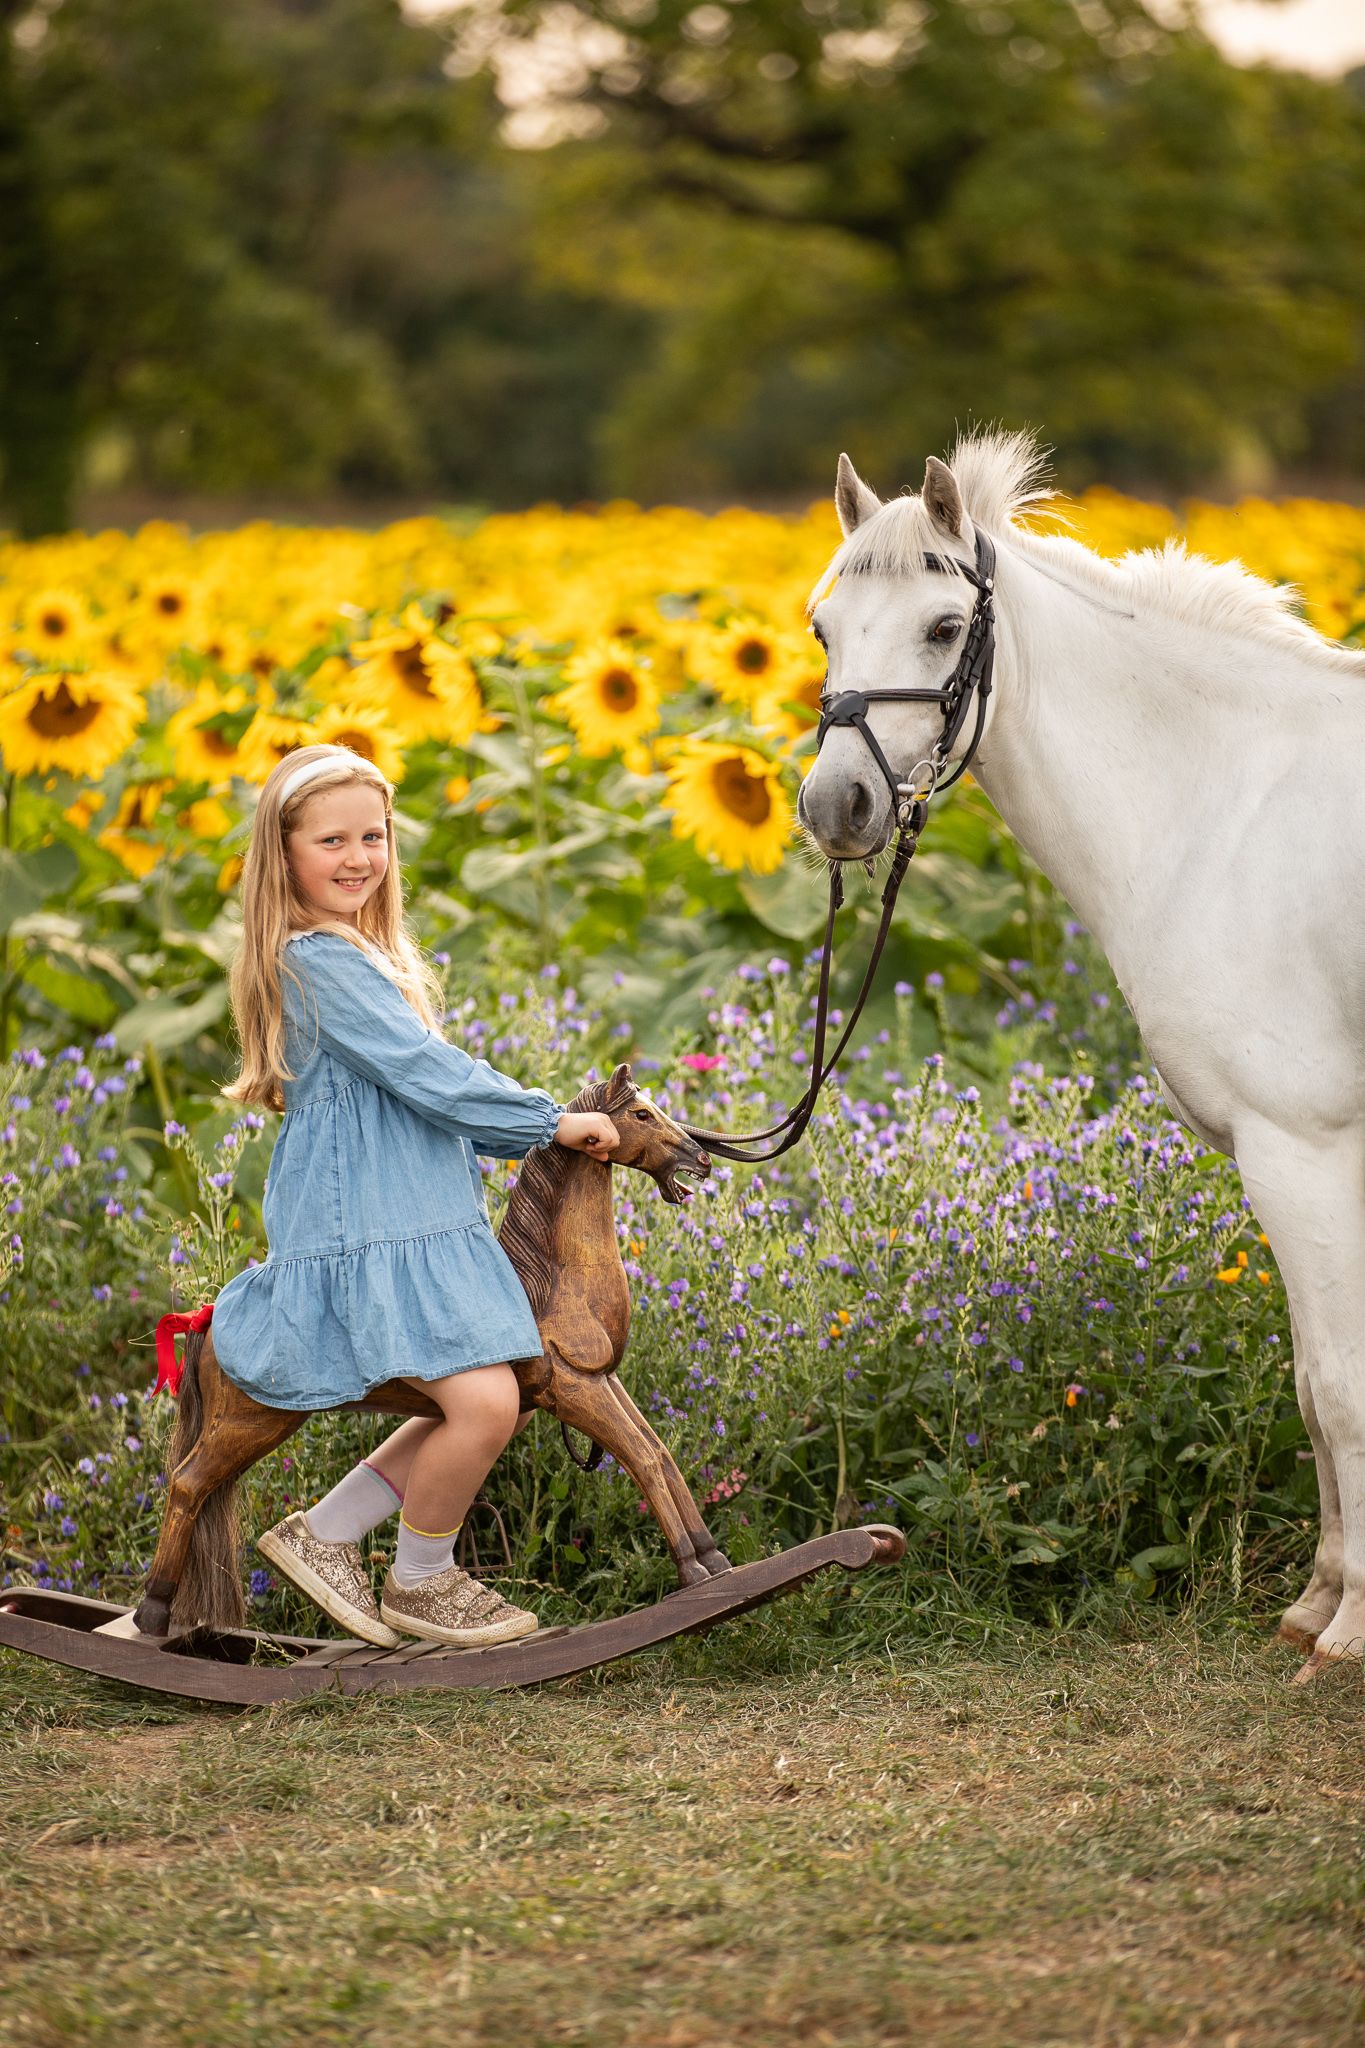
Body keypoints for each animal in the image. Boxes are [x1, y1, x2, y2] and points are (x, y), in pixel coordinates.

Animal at [131, 1063, 729, 1639]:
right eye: (641, 1114)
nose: (700, 1158)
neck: (553, 1288)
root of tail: (208, 1315)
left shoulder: (601, 1382)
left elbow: (661, 1454)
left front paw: (712, 1557)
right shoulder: (573, 1388)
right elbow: (643, 1458)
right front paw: (692, 1570)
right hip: (251, 1422)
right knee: (186, 1485)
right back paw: (154, 1611)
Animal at [797, 431, 1365, 1682]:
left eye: (943, 628)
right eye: (821, 628)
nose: (836, 805)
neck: (1227, 809)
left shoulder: (1306, 1153)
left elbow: (1341, 1387)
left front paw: (1349, 1633)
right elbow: (1313, 1387)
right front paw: (1314, 1603)